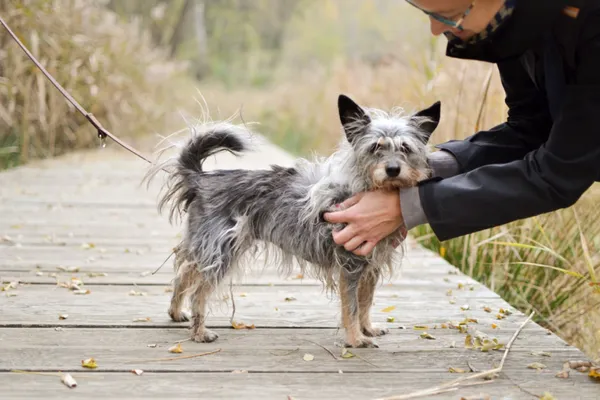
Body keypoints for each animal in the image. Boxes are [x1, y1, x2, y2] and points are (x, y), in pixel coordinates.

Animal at [145, 94, 440, 346]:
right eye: (375, 148)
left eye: (405, 148)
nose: (392, 169)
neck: (364, 188)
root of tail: (202, 179)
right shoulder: (350, 265)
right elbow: (352, 307)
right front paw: (356, 339)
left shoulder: (369, 266)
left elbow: (366, 301)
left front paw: (367, 328)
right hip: (221, 250)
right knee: (199, 291)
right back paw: (199, 332)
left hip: (204, 246)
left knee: (184, 272)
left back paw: (176, 312)